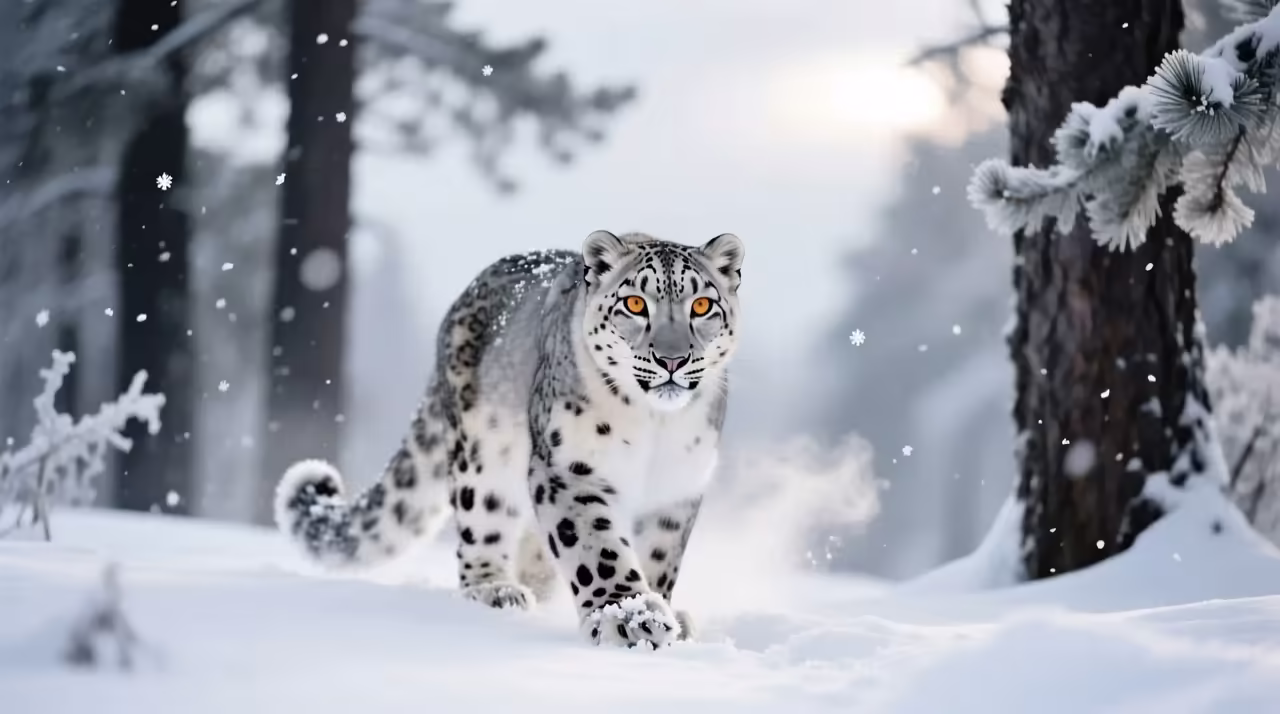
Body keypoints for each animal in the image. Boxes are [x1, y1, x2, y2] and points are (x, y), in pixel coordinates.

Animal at [273, 230, 744, 649]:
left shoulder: (678, 488)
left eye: (702, 305)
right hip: (483, 459)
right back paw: (495, 589)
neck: (653, 425)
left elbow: (660, 557)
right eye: (635, 303)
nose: (672, 359)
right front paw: (627, 616)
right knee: (482, 524)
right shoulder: (570, 469)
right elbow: (596, 546)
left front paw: (663, 613)